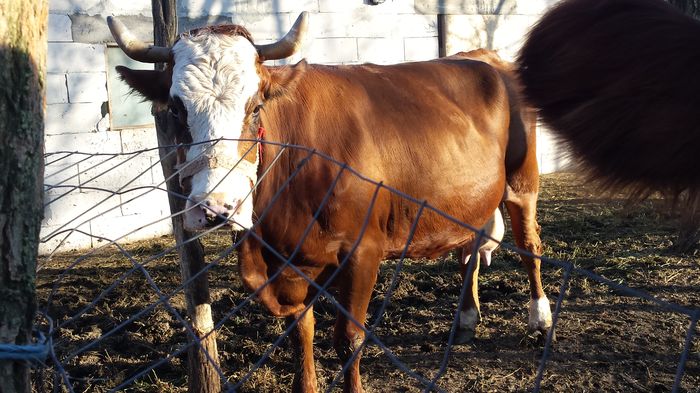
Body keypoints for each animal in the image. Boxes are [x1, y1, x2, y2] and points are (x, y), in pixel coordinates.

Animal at [109, 13, 548, 390]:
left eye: (256, 107)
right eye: (175, 109)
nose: (218, 207)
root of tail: (481, 56)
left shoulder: (363, 250)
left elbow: (348, 338)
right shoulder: (287, 263)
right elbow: (300, 331)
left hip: (522, 180)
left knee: (530, 244)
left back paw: (540, 317)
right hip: (468, 199)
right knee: (469, 251)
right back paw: (466, 320)